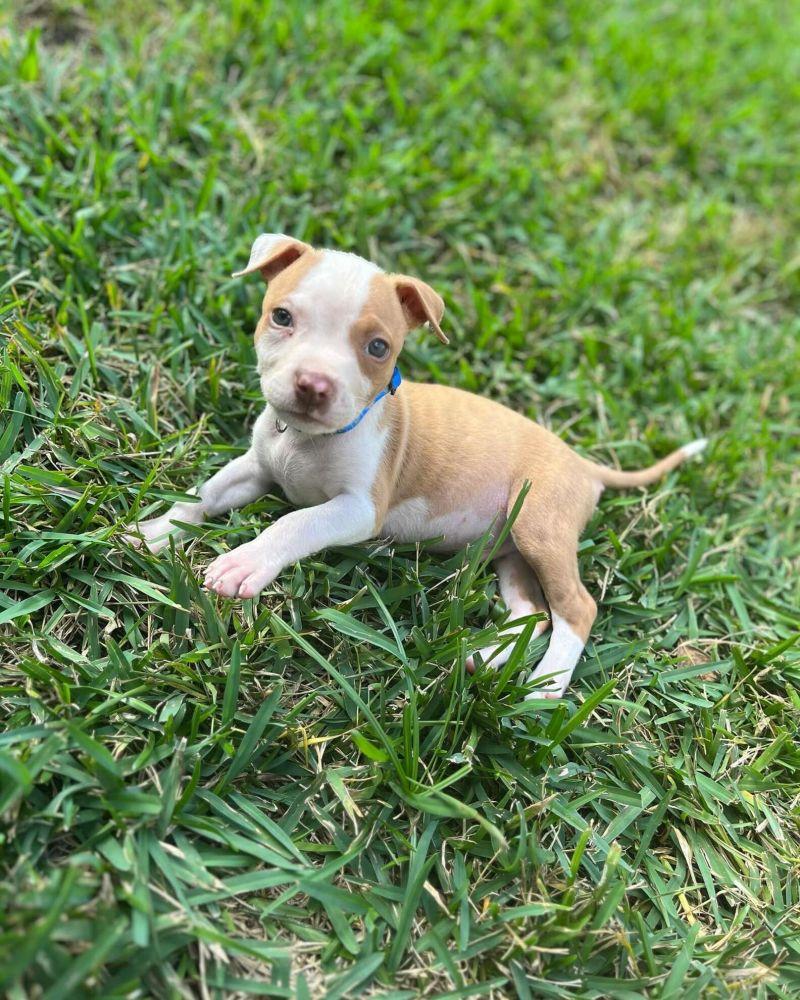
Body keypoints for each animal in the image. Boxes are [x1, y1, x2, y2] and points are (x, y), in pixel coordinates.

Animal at [126, 235, 708, 700]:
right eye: (282, 317)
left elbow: (295, 521)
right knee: (532, 613)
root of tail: (583, 464)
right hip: (511, 550)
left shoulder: (359, 509)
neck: (308, 441)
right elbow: (205, 493)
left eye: (378, 347)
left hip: (540, 526)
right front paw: (153, 531)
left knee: (576, 610)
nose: (313, 385)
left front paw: (245, 563)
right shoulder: (256, 467)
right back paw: (486, 658)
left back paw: (546, 688)